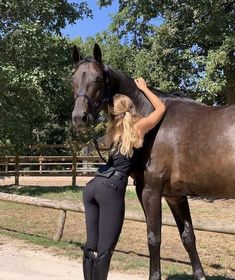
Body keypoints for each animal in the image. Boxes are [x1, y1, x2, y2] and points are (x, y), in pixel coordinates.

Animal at [72, 43, 235, 280]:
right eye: (73, 79)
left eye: (99, 78)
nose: (79, 118)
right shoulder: (175, 196)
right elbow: (188, 237)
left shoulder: (149, 191)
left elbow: (153, 237)